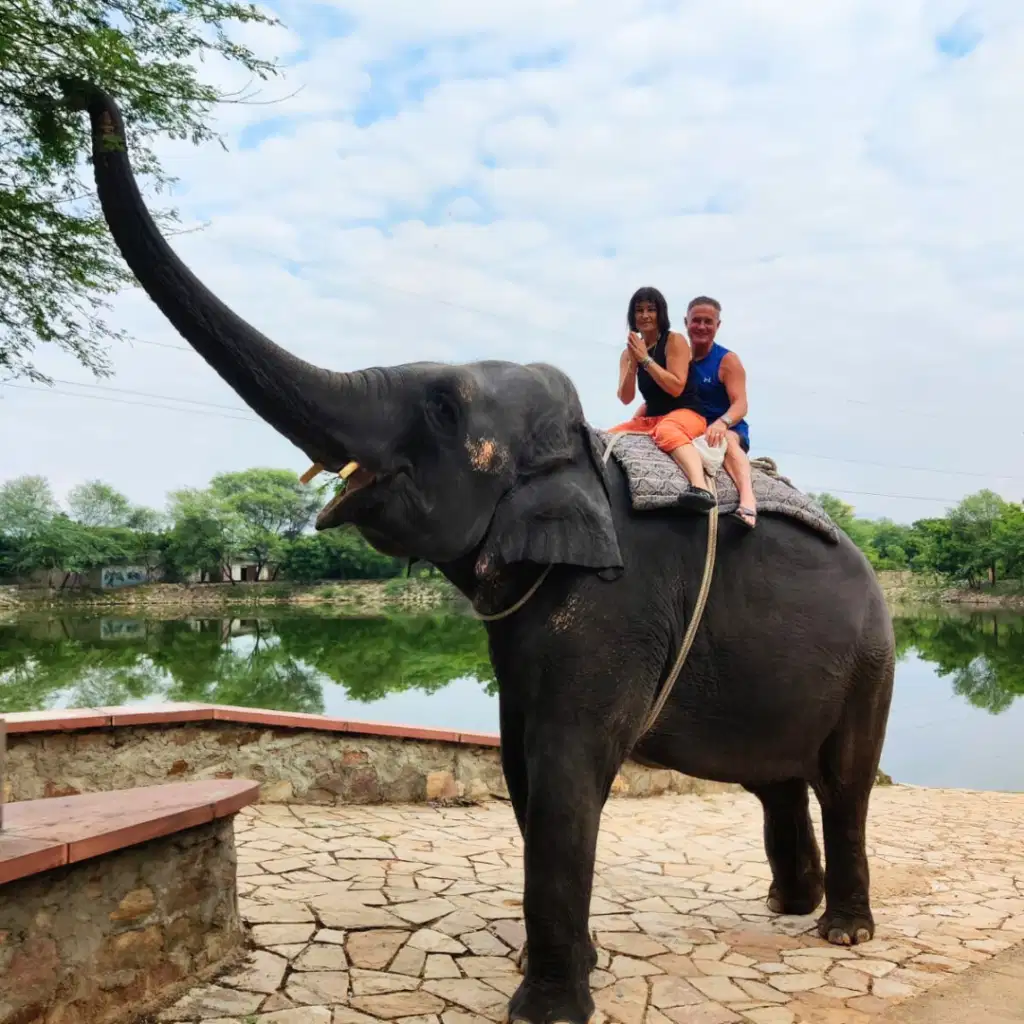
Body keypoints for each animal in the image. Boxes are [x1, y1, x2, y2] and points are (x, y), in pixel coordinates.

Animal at [69, 84, 896, 1024]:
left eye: (439, 410)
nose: (84, 93)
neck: (581, 454)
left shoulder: (615, 607)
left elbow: (567, 770)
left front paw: (546, 1008)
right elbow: (520, 766)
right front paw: (570, 965)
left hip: (873, 662)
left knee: (844, 782)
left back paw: (843, 933)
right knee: (779, 781)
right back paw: (786, 907)